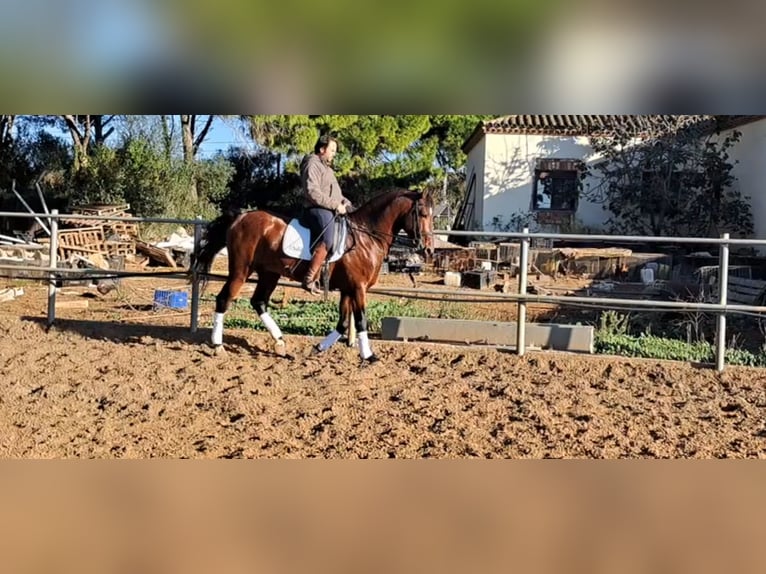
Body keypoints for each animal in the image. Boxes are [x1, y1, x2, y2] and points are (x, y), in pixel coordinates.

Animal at [191, 189, 432, 364]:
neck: (367, 236)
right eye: (423, 214)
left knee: (258, 302)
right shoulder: (358, 288)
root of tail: (240, 217)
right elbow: (361, 320)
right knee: (224, 299)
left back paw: (280, 342)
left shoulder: (347, 289)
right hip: (241, 271)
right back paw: (218, 345)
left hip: (269, 274)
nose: (428, 249)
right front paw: (369, 356)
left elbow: (343, 323)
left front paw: (318, 348)